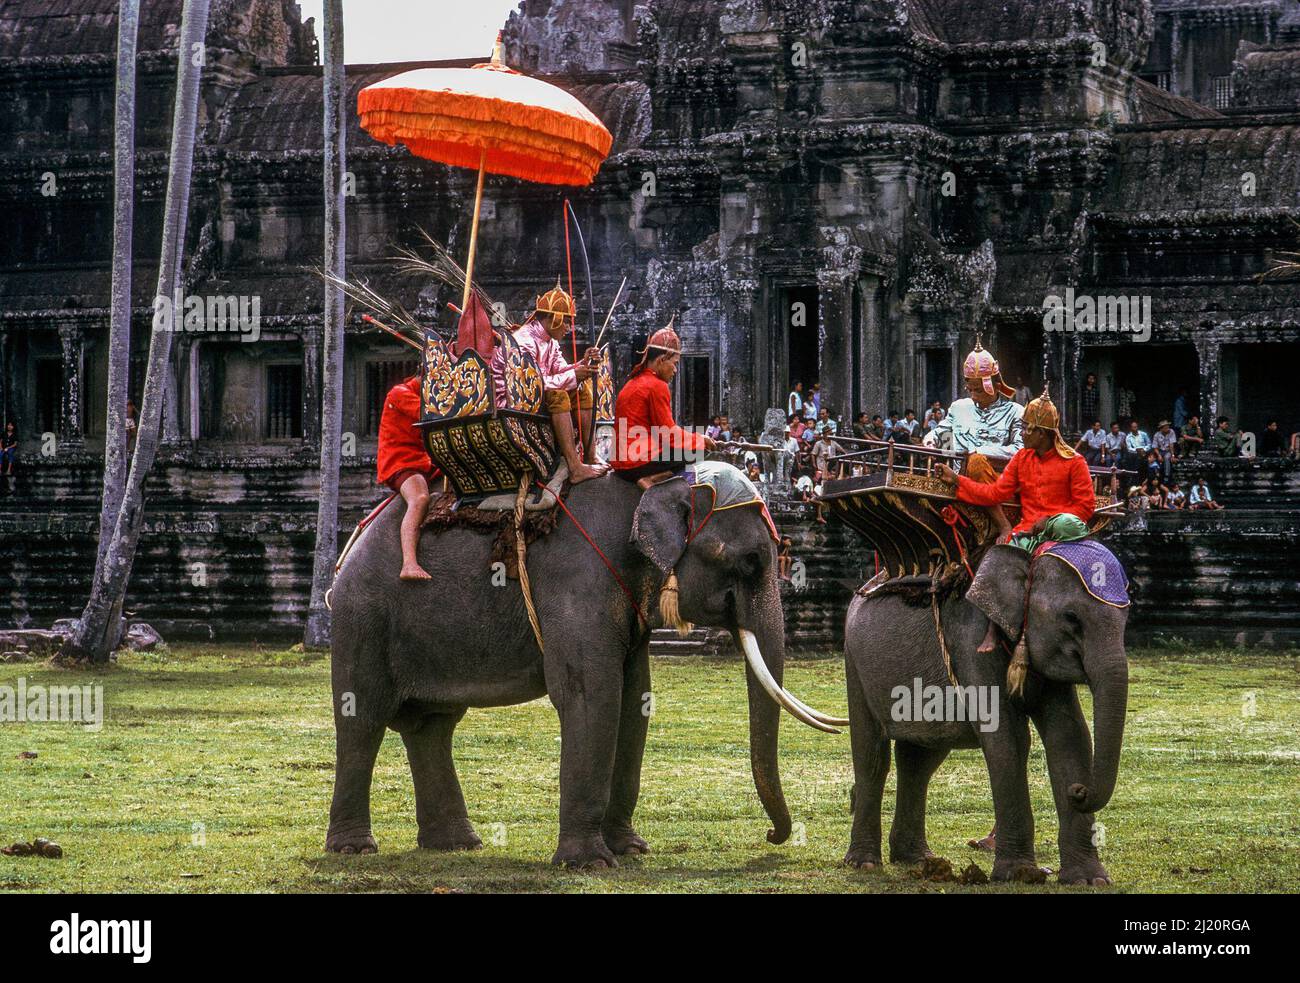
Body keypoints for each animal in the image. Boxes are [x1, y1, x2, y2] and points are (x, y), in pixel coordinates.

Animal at [325, 468, 842, 868]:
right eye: (752, 560)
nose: (773, 838)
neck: (653, 488)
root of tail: (352, 544)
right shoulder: (579, 582)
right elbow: (592, 693)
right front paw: (589, 864)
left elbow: (635, 700)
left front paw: (631, 851)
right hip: (362, 616)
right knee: (363, 718)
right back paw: (354, 850)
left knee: (432, 725)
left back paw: (456, 846)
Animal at [842, 540, 1128, 889]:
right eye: (1071, 617)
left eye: (1126, 618)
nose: (1079, 790)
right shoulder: (971, 642)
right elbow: (1008, 737)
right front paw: (1020, 875)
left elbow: (1069, 735)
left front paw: (1089, 881)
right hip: (855, 663)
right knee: (872, 757)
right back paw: (864, 863)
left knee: (919, 760)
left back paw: (917, 859)